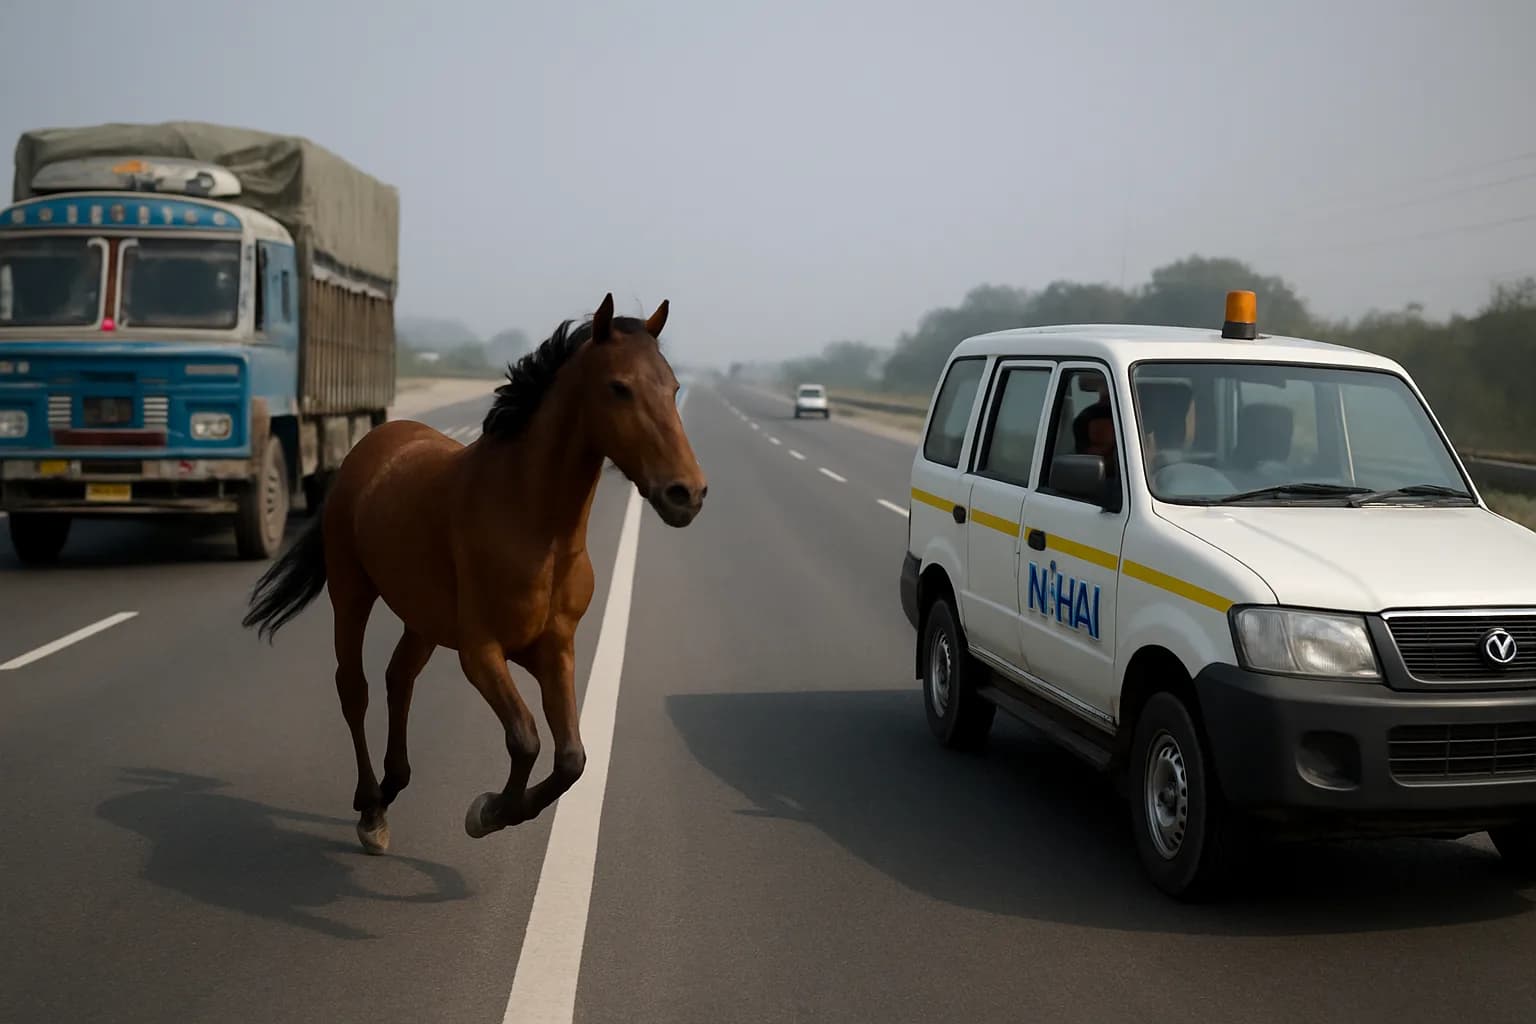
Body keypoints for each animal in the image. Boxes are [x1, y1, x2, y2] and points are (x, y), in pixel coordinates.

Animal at [241, 293, 706, 854]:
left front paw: (499, 808)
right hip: (351, 592)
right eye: (619, 387)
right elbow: (525, 737)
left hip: (422, 618)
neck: (533, 527)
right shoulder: (481, 651)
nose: (686, 493)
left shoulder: (555, 648)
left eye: (674, 387)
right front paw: (485, 812)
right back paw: (371, 807)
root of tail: (373, 444)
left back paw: (392, 786)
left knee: (399, 678)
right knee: (354, 687)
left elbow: (571, 758)